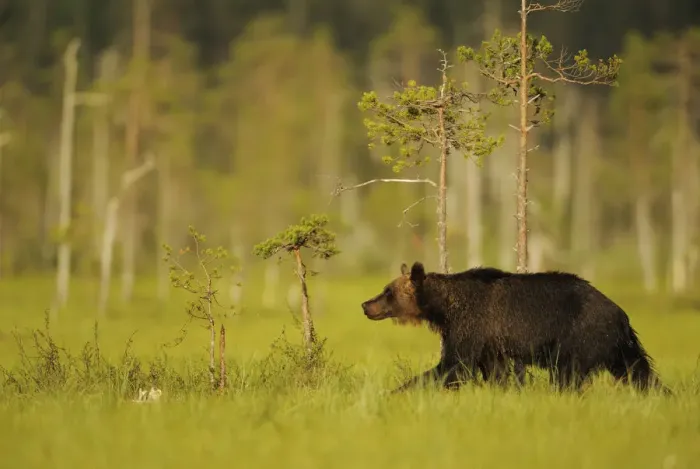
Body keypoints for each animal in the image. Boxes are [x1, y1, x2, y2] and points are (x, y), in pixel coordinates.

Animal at [360, 261, 669, 394]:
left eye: (387, 291)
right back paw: (660, 395)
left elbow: (454, 365)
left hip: (580, 335)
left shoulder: (472, 324)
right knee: (638, 370)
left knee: (568, 374)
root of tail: (621, 314)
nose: (365, 304)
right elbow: (494, 371)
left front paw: (397, 391)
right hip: (617, 346)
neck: (444, 307)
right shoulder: (489, 341)